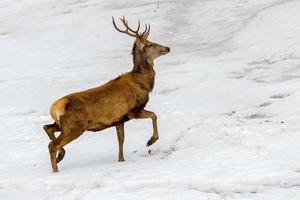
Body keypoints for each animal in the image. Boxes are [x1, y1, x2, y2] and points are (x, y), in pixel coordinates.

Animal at [42, 16, 170, 172]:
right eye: (151, 44)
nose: (167, 48)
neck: (143, 84)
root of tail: (55, 107)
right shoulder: (132, 110)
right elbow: (154, 115)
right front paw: (151, 141)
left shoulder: (119, 120)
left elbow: (121, 139)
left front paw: (121, 160)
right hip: (74, 126)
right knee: (52, 144)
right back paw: (56, 169)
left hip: (63, 124)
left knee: (47, 128)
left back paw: (61, 155)